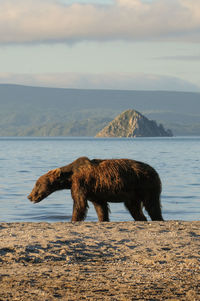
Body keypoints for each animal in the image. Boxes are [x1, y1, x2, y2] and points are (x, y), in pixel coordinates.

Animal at [27, 156, 163, 221]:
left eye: (37, 184)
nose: (29, 196)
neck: (69, 178)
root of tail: (155, 171)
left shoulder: (80, 183)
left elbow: (79, 203)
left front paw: (73, 219)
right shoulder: (95, 191)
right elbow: (100, 207)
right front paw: (103, 219)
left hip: (146, 184)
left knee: (152, 204)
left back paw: (157, 218)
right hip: (132, 193)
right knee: (134, 208)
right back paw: (141, 219)